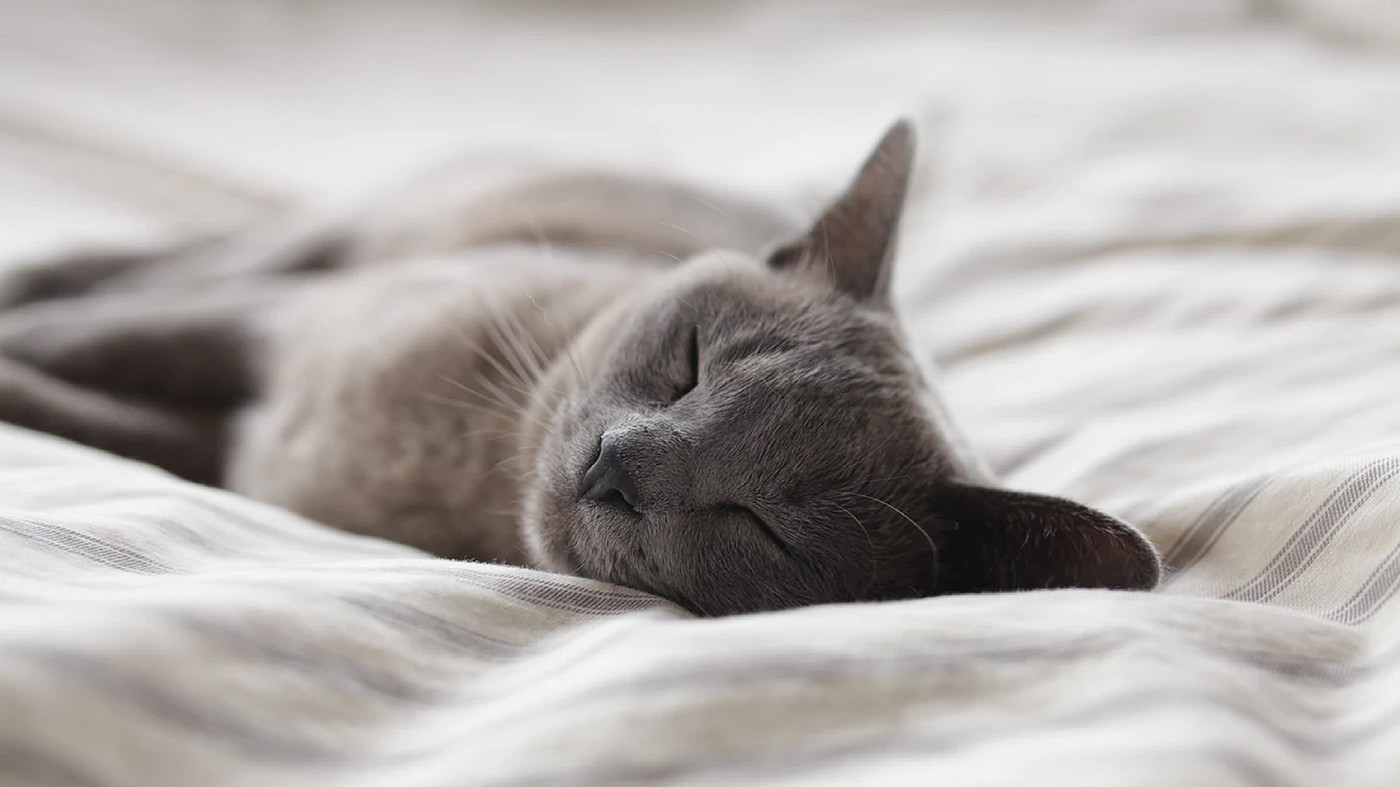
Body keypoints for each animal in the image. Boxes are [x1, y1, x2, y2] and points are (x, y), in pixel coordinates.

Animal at [0, 121, 1159, 613]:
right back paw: (38, 269)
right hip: (334, 242)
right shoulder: (269, 329)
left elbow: (87, 413)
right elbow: (94, 342)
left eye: (762, 525)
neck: (463, 469)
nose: (615, 466)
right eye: (687, 363)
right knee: (174, 259)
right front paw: (22, 334)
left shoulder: (229, 447)